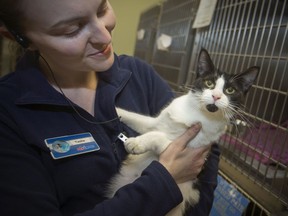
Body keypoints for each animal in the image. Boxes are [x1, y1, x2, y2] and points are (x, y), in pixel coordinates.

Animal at [107, 49, 260, 216]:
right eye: (209, 83)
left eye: (230, 90)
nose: (216, 96)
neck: (198, 113)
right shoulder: (154, 124)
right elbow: (135, 117)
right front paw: (115, 111)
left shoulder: (187, 148)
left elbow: (158, 136)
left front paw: (136, 142)